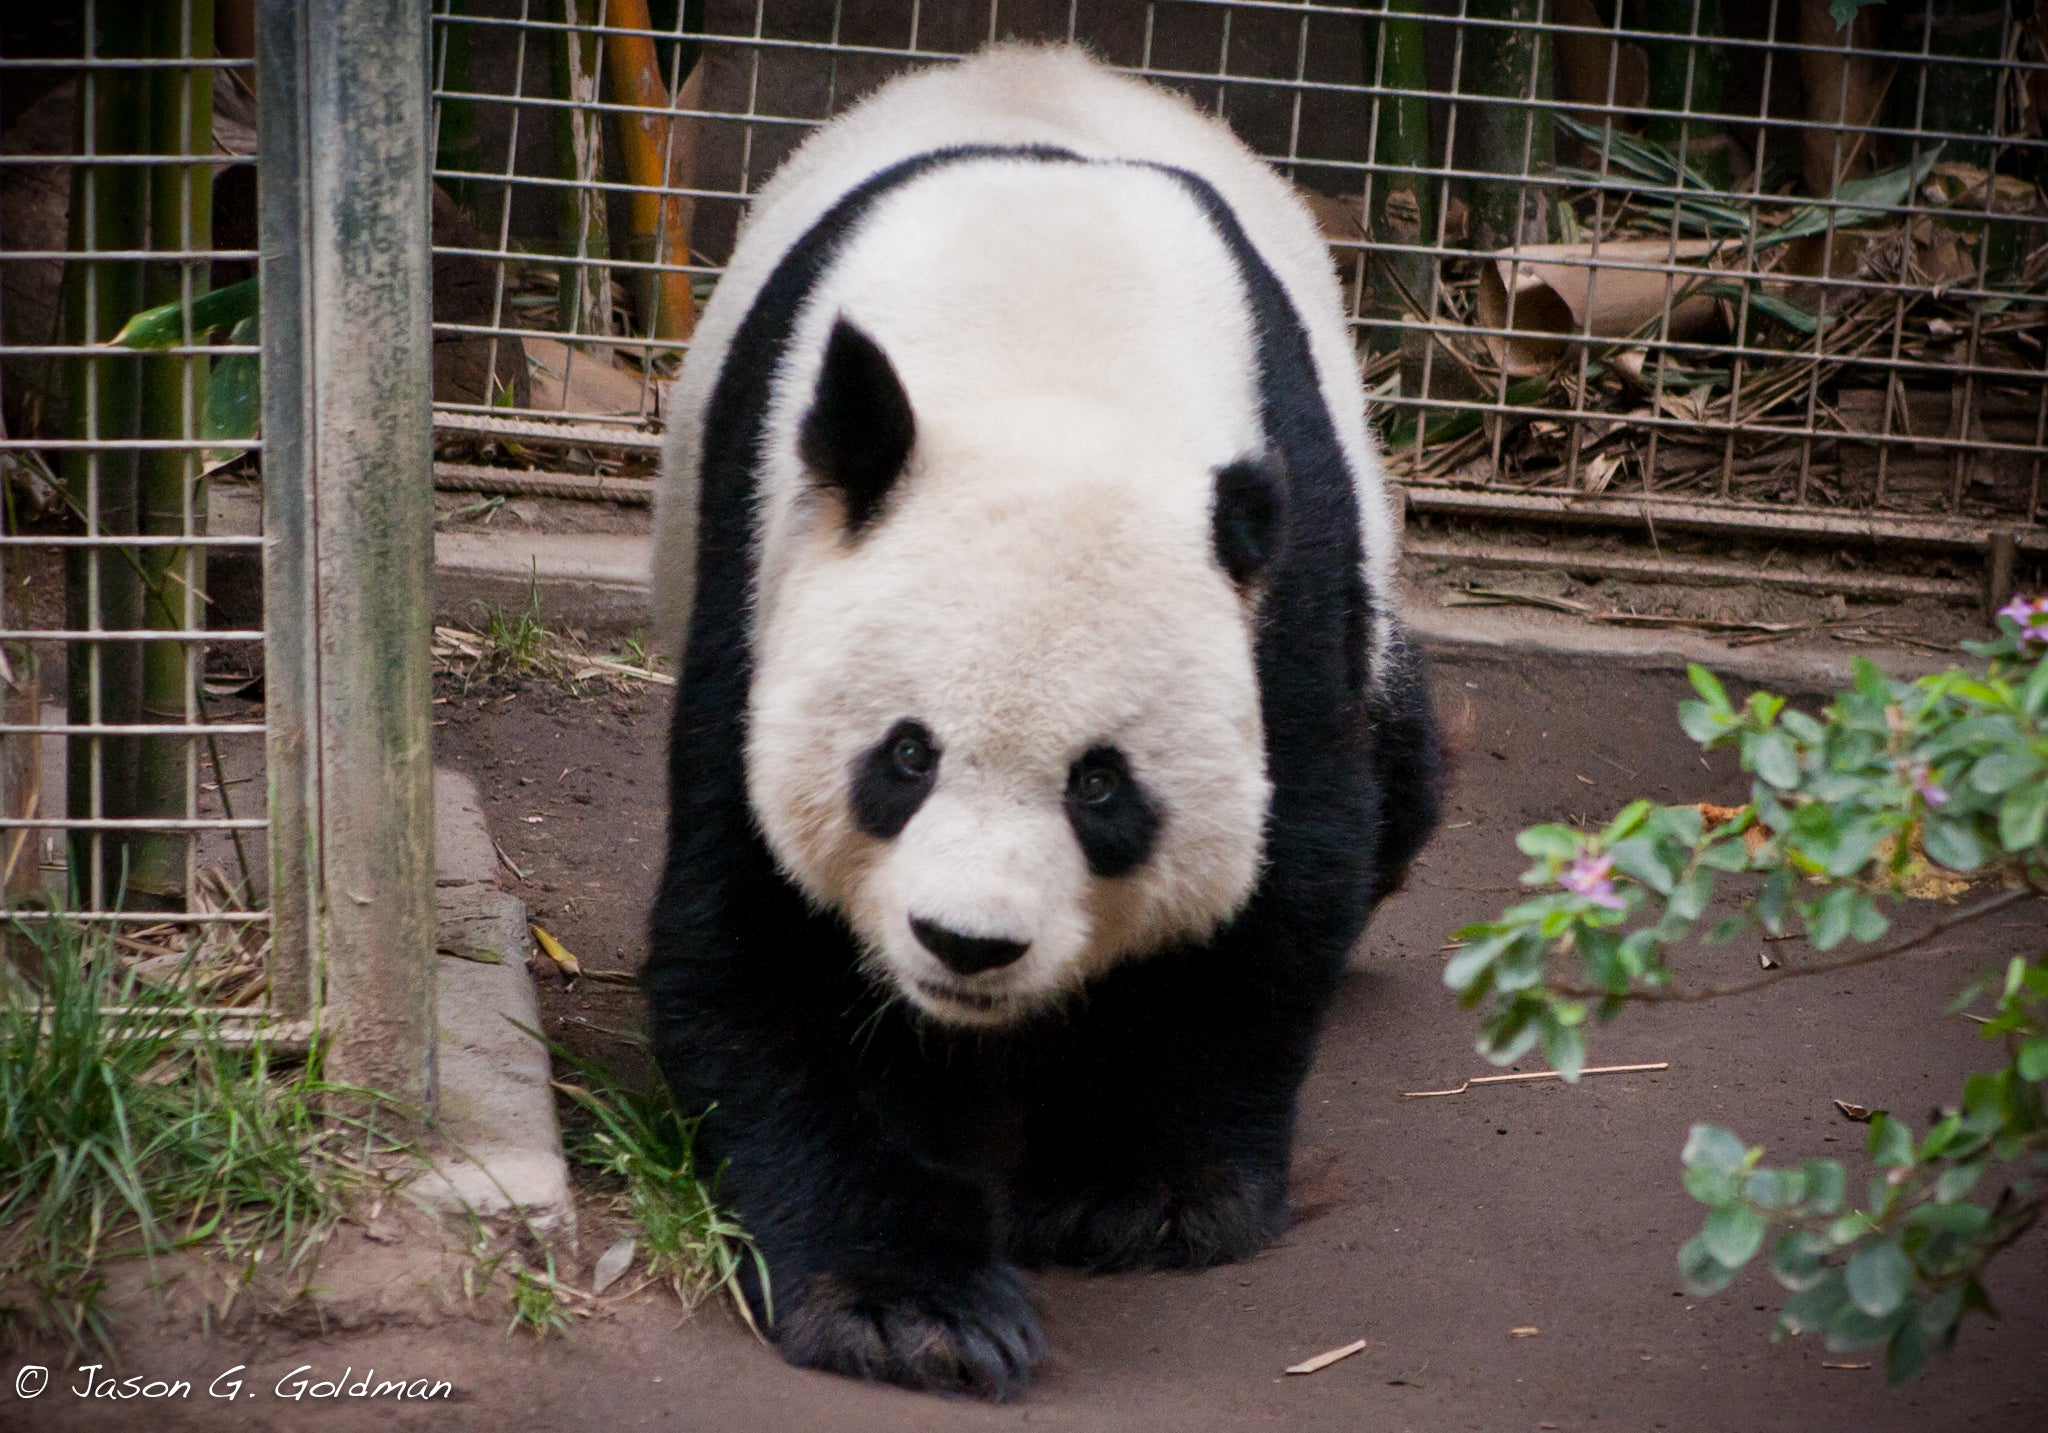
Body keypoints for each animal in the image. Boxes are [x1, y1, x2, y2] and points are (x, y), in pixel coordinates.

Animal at [651, 41, 1441, 1400]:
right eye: (904, 756)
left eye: (1100, 786)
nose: (966, 944)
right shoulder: (764, 560)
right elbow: (748, 939)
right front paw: (912, 1309)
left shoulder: (1282, 572)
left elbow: (1286, 870)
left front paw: (1135, 1195)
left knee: (1404, 784)